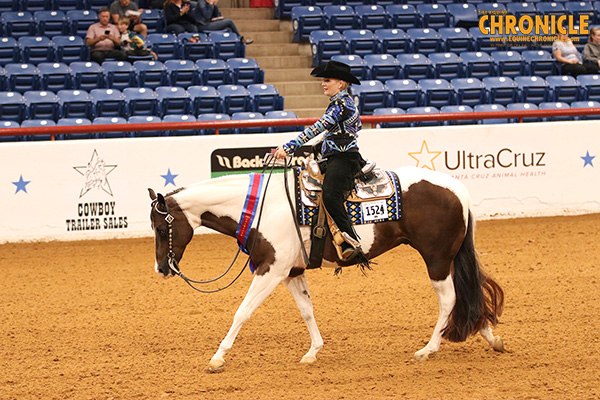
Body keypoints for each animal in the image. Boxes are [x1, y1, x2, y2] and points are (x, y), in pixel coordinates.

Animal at [148, 166, 504, 372]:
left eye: (161, 227)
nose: (162, 268)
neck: (264, 207)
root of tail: (458, 188)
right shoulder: (291, 272)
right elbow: (307, 310)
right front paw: (313, 352)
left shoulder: (270, 269)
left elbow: (243, 311)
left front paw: (218, 358)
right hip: (450, 257)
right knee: (468, 295)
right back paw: (490, 337)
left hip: (437, 258)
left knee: (450, 299)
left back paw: (428, 350)